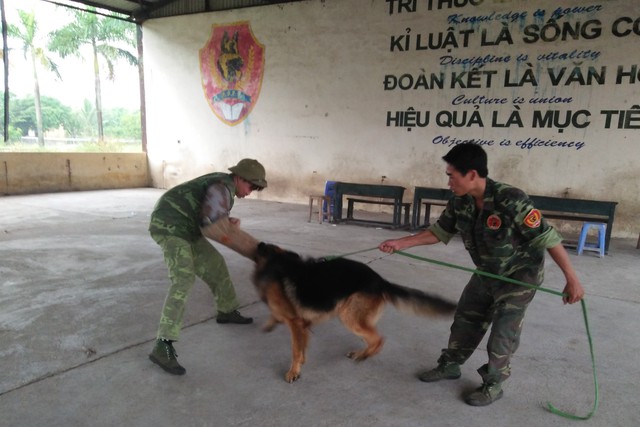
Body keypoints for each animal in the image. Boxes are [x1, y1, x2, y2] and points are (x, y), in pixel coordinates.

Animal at [252, 242, 458, 382]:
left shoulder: (295, 323)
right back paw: (362, 352)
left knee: (378, 339)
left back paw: (363, 356)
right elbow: (301, 349)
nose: (258, 245)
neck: (277, 261)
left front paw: (293, 371)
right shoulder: (303, 325)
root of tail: (380, 281)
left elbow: (295, 350)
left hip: (348, 316)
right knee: (372, 338)